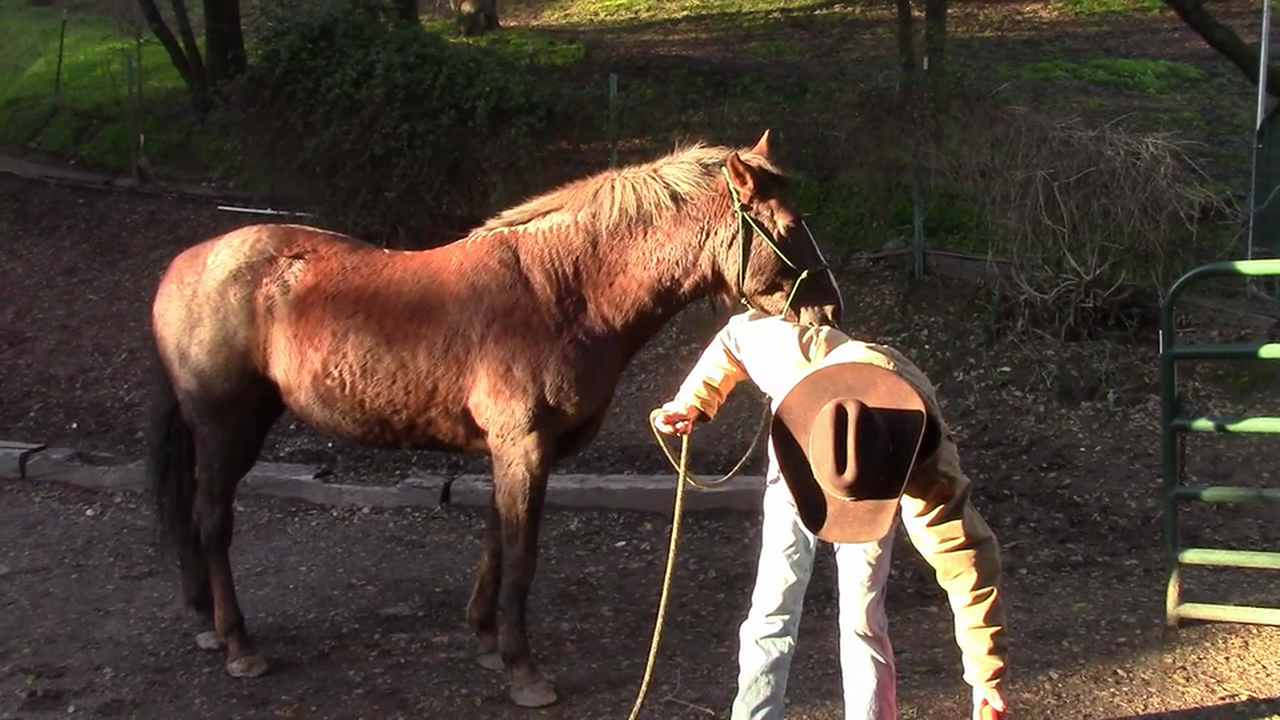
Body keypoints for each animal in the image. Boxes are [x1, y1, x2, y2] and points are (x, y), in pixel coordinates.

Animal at [146, 129, 844, 708]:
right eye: (791, 224)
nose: (829, 306)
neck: (561, 292)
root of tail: (187, 264)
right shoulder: (525, 449)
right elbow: (522, 553)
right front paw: (523, 671)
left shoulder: (507, 452)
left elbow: (493, 541)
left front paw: (484, 639)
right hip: (225, 427)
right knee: (211, 519)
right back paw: (239, 644)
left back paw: (206, 623)